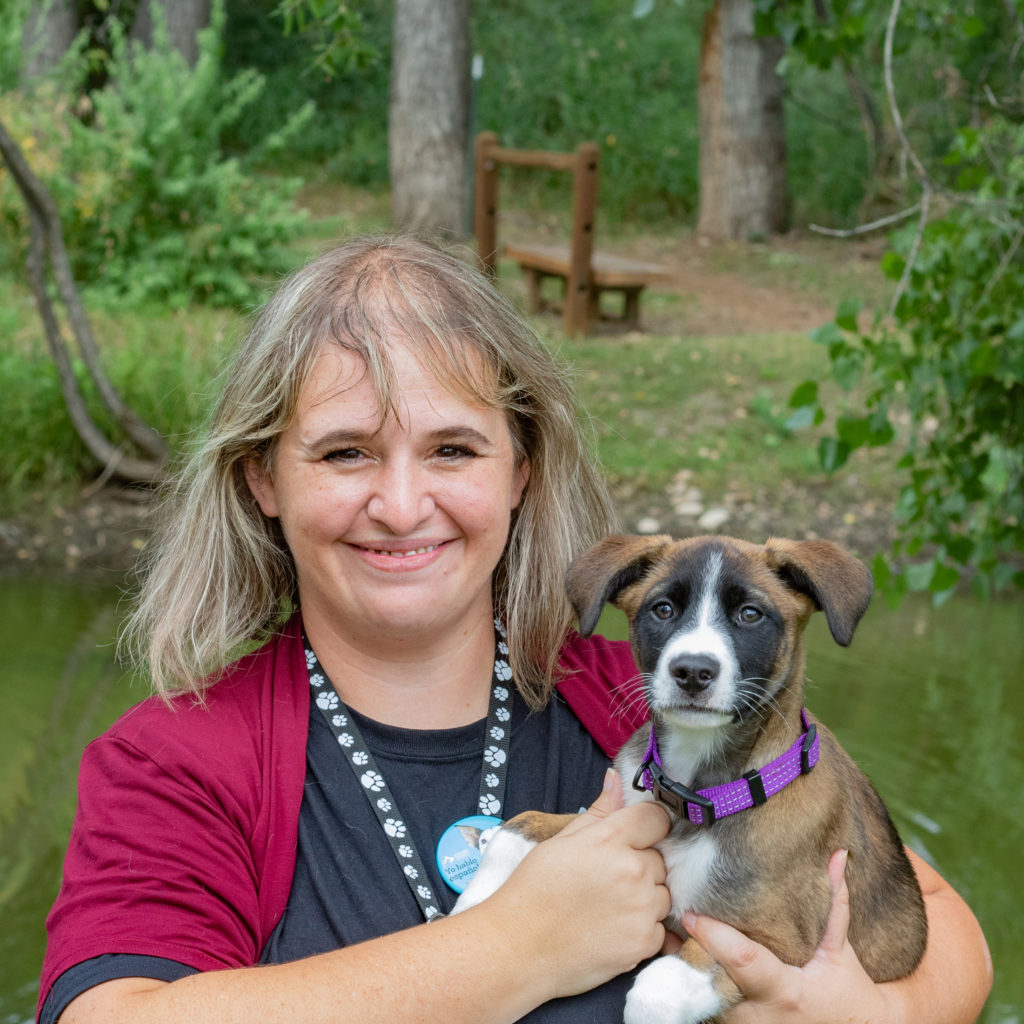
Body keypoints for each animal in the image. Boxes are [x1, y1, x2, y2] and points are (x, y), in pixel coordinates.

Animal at [456, 536, 929, 1024]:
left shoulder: (782, 947)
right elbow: (520, 826)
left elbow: (654, 993)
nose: (692, 671)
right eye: (663, 609)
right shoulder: (613, 811)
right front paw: (479, 907)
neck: (694, 793)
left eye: (750, 614)